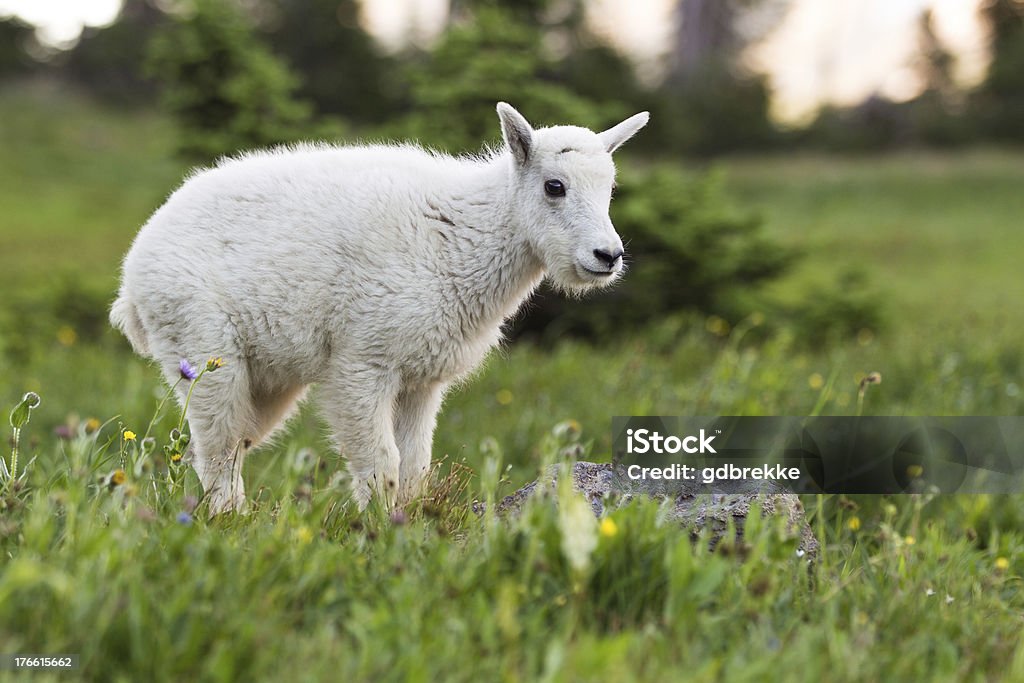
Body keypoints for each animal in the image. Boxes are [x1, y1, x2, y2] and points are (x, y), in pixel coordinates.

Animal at [110, 104, 647, 516]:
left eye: (610, 189)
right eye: (554, 186)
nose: (607, 256)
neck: (465, 236)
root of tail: (130, 283)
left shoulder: (422, 379)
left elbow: (414, 464)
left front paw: (406, 524)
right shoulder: (362, 363)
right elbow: (380, 460)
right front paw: (379, 531)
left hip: (266, 379)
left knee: (230, 442)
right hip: (204, 349)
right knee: (218, 447)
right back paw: (230, 522)